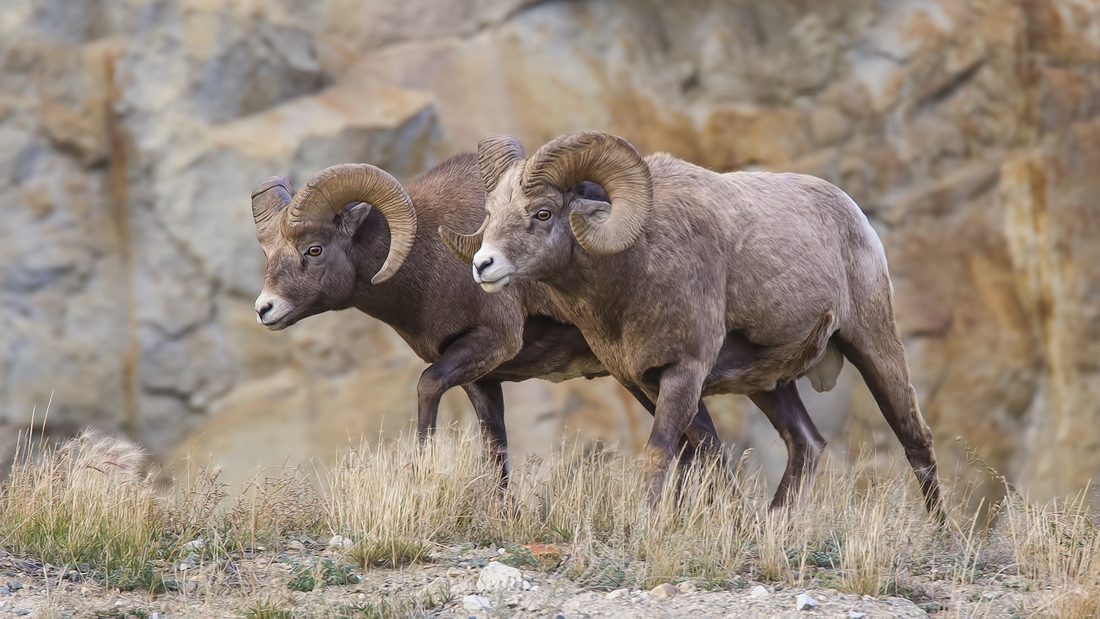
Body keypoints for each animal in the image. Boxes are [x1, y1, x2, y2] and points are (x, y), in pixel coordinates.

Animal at [251, 153, 730, 479]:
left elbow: (427, 388)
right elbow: (495, 449)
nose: (264, 309)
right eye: (269, 253)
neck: (428, 259)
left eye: (314, 249)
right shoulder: (481, 378)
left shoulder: (488, 343)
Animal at [442, 133, 941, 516]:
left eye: (543, 213)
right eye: (490, 214)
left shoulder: (684, 373)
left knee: (914, 438)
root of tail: (855, 215)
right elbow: (705, 454)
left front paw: (642, 523)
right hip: (770, 386)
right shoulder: (645, 382)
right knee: (807, 444)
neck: (636, 270)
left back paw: (940, 534)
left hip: (874, 344)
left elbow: (662, 451)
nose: (484, 265)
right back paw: (772, 525)